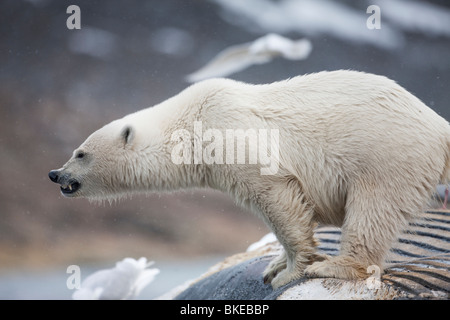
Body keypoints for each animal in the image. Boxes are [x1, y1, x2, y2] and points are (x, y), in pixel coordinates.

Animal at [49, 70, 450, 290]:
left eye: (80, 153)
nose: (55, 174)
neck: (191, 123)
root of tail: (437, 125)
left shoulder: (233, 134)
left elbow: (276, 197)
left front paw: (292, 270)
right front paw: (274, 266)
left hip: (387, 155)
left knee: (372, 209)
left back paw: (336, 264)